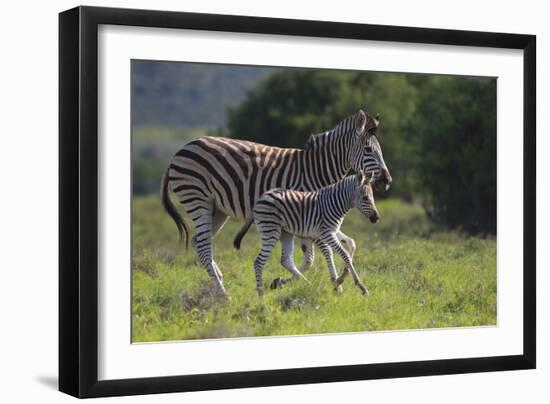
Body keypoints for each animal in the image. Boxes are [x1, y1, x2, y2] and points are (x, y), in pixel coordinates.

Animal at [161, 109, 392, 296]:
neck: (316, 170)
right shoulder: (309, 216)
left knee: (200, 241)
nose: (387, 181)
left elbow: (348, 245)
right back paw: (223, 292)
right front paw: (335, 283)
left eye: (380, 150)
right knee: (203, 243)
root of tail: (180, 151)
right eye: (368, 150)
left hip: (217, 209)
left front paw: (338, 279)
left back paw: (217, 280)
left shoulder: (314, 218)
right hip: (197, 199)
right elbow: (316, 255)